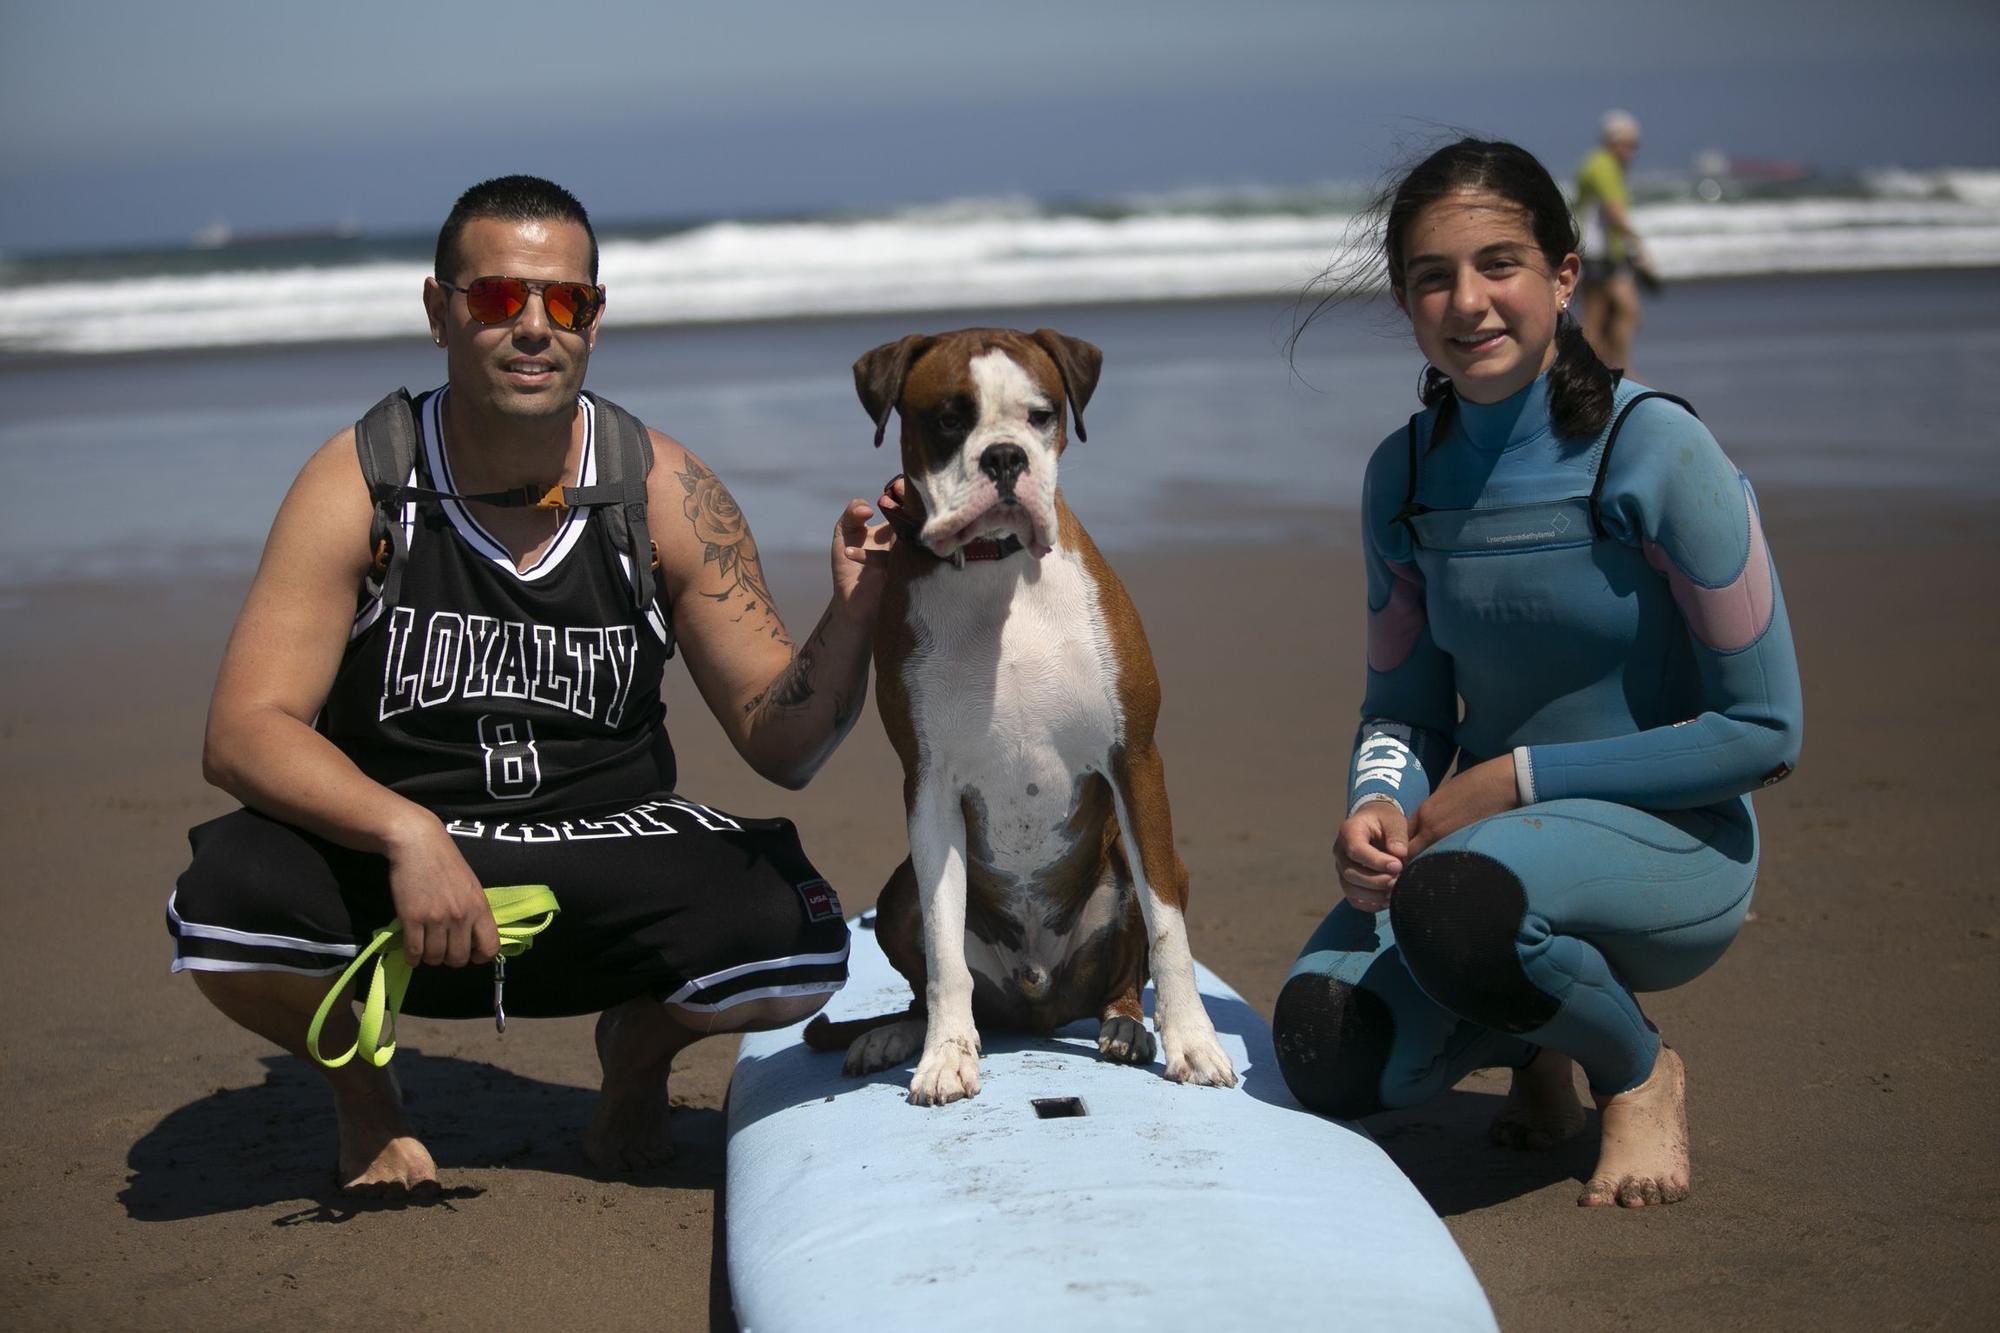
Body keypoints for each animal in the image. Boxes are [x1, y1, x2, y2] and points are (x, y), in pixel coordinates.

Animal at [800, 324, 1232, 1096]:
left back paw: (1126, 1026)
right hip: (897, 890)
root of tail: (1041, 1005)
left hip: (1134, 859)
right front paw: (945, 1053)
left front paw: (1192, 1041)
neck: (998, 569)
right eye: (949, 418)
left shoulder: (1135, 759)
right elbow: (943, 950)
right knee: (929, 978)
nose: (1005, 456)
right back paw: (898, 1034)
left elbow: (1167, 929)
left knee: (1125, 972)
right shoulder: (930, 787)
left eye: (1042, 415)